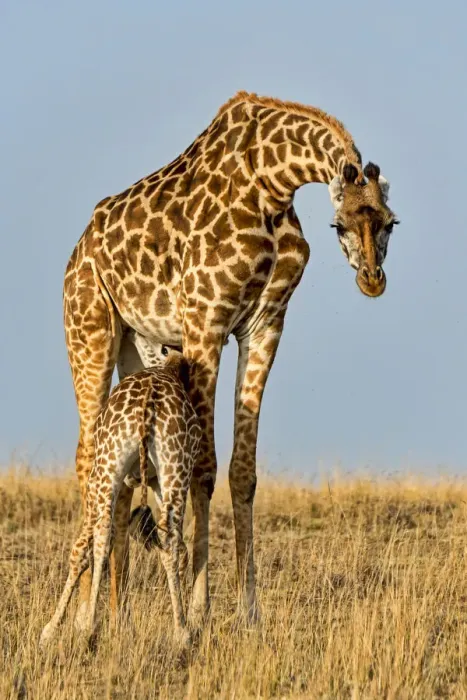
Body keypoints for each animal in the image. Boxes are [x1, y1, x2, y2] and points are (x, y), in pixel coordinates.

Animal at [40, 342, 201, 650]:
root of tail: (148, 403)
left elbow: (80, 550)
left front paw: (52, 628)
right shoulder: (155, 483)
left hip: (107, 468)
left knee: (102, 535)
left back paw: (88, 626)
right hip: (171, 469)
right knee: (168, 540)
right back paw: (181, 632)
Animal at [63, 90, 399, 627]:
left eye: (390, 222)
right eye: (338, 224)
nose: (372, 279)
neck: (273, 184)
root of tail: (78, 249)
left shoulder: (265, 325)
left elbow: (243, 471)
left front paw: (249, 611)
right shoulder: (206, 322)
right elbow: (204, 467)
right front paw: (200, 610)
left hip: (136, 350)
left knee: (126, 471)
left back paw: (121, 613)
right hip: (89, 328)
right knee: (87, 455)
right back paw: (82, 614)